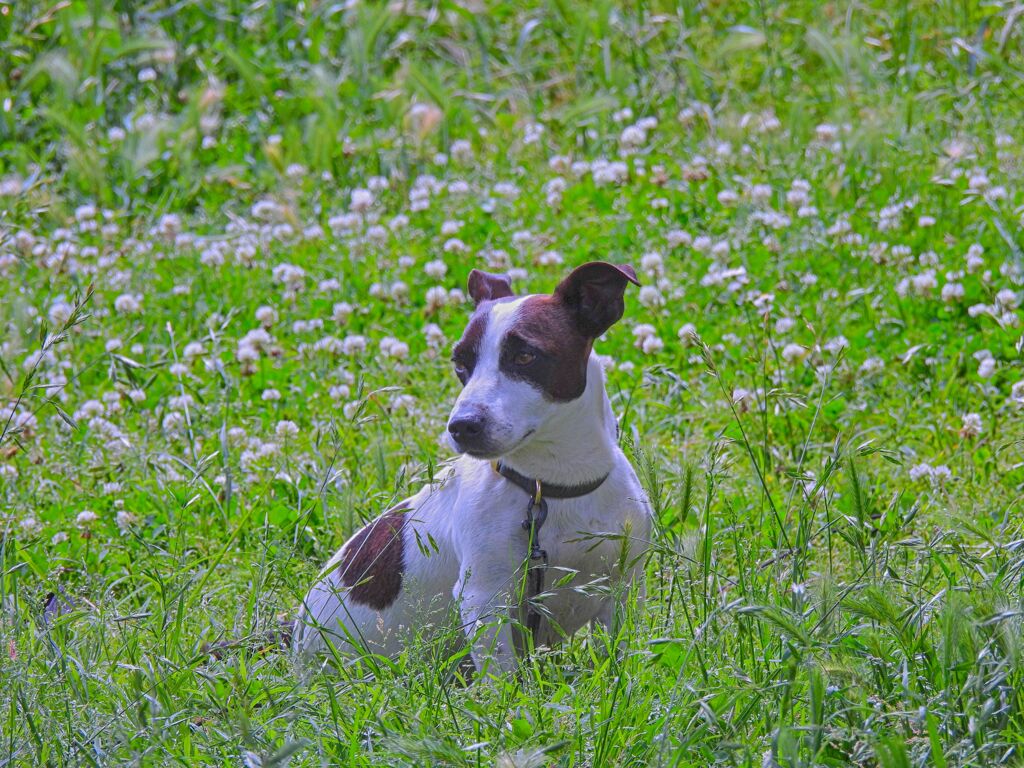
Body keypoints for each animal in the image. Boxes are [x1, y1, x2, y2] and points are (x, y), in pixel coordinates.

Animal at [292, 262, 651, 675]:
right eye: (460, 364)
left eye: (525, 356)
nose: (462, 426)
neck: (551, 487)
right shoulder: (485, 601)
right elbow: (503, 679)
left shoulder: (623, 587)